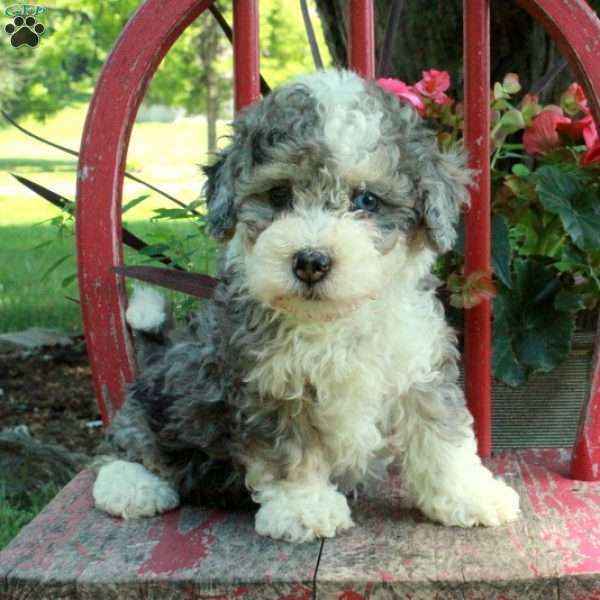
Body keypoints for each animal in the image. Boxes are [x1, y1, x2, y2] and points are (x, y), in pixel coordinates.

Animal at [95, 68, 520, 540]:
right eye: (280, 195)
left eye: (367, 200)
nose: (311, 262)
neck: (334, 320)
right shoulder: (268, 386)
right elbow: (290, 455)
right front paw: (304, 510)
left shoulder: (419, 369)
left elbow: (442, 435)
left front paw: (471, 495)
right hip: (160, 404)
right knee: (127, 443)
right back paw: (131, 486)